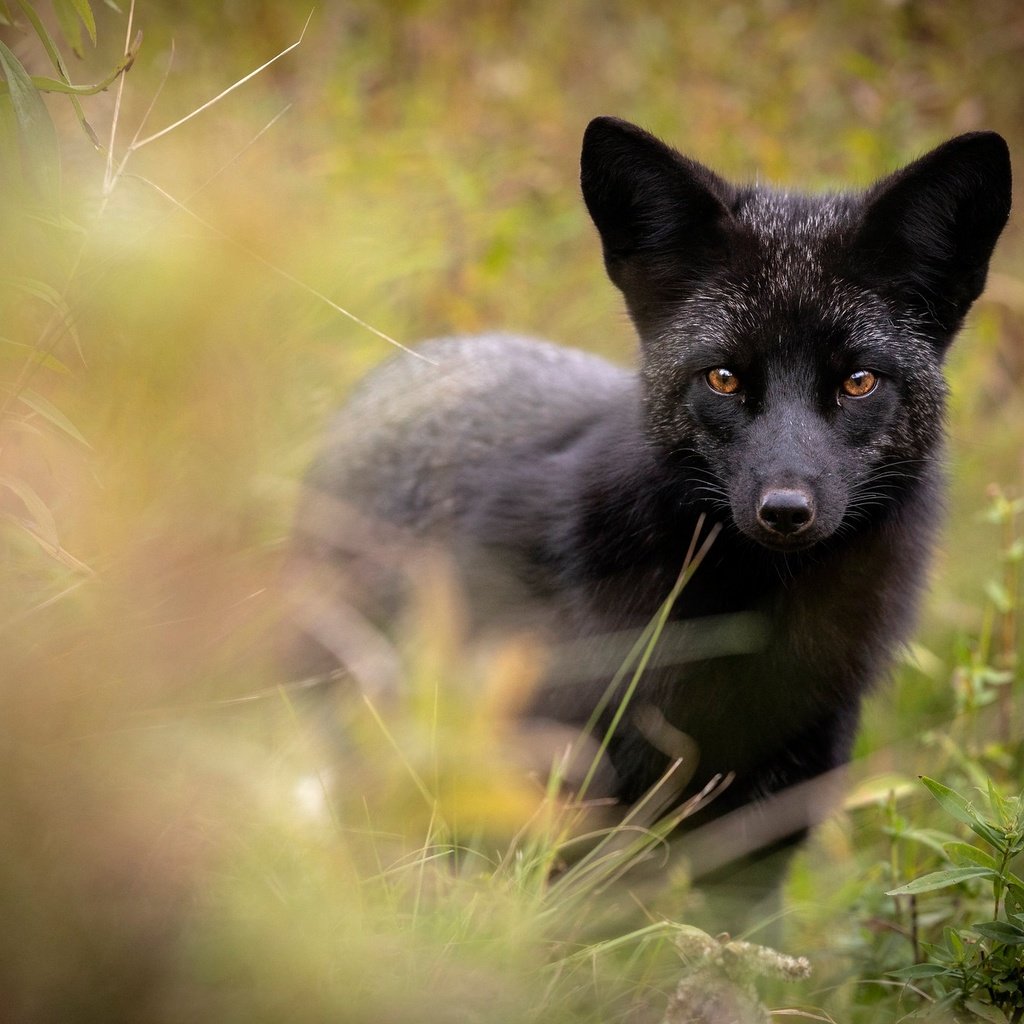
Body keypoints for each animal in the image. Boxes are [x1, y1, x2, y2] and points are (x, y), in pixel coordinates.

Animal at [286, 117, 1007, 888]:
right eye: (723, 378)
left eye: (859, 381)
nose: (786, 510)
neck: (747, 635)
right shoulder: (568, 811)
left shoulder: (769, 825)